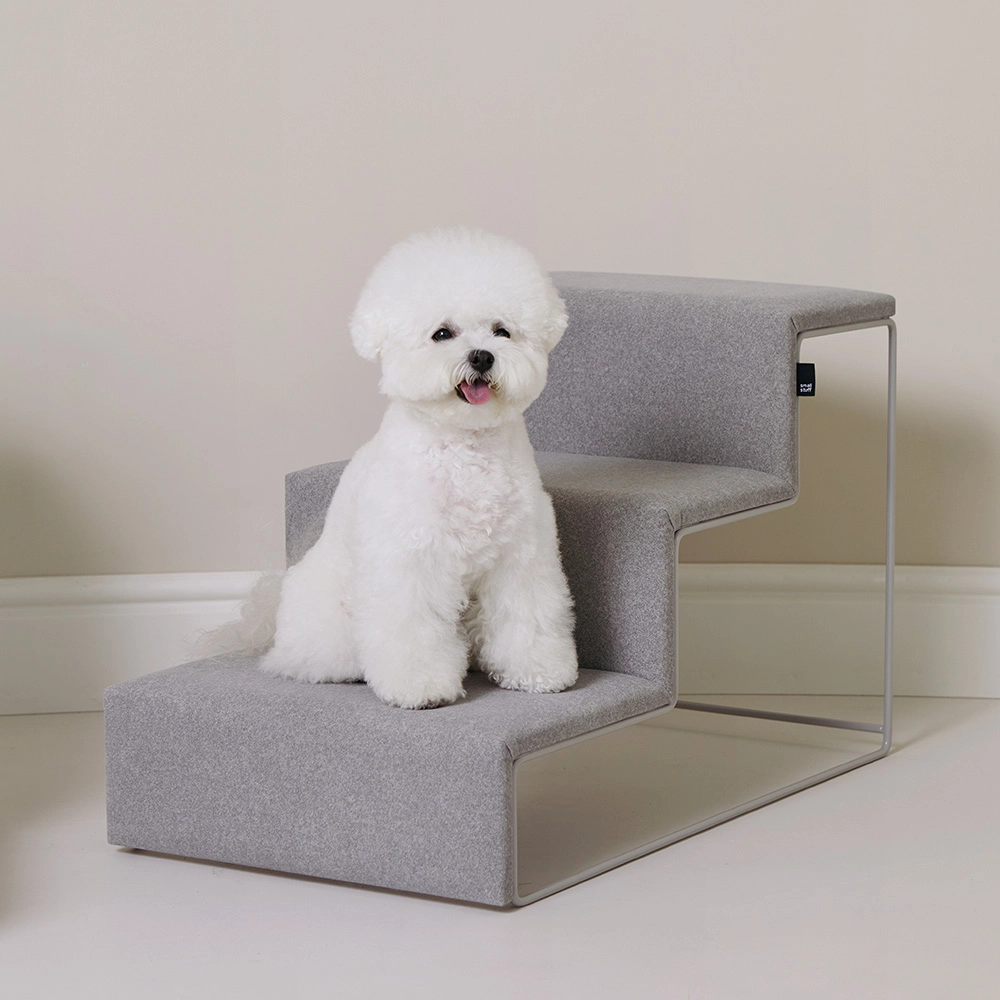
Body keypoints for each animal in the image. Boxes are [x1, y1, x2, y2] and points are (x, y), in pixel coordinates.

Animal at [252, 227, 578, 708]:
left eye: (502, 331)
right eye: (442, 333)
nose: (482, 356)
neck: (464, 445)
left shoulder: (521, 555)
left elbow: (527, 615)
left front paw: (539, 671)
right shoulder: (410, 559)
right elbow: (411, 629)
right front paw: (421, 686)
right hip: (328, 612)